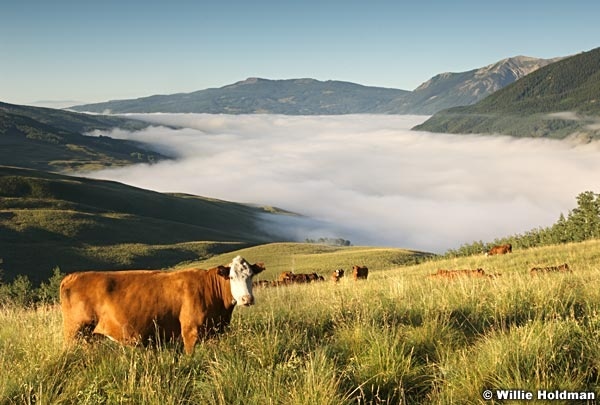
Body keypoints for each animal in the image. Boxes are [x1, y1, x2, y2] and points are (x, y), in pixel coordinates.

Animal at [60, 256, 264, 354]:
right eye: (231, 277)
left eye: (251, 275)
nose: (247, 299)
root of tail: (72, 276)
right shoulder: (190, 332)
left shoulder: (215, 332)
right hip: (74, 332)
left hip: (89, 337)